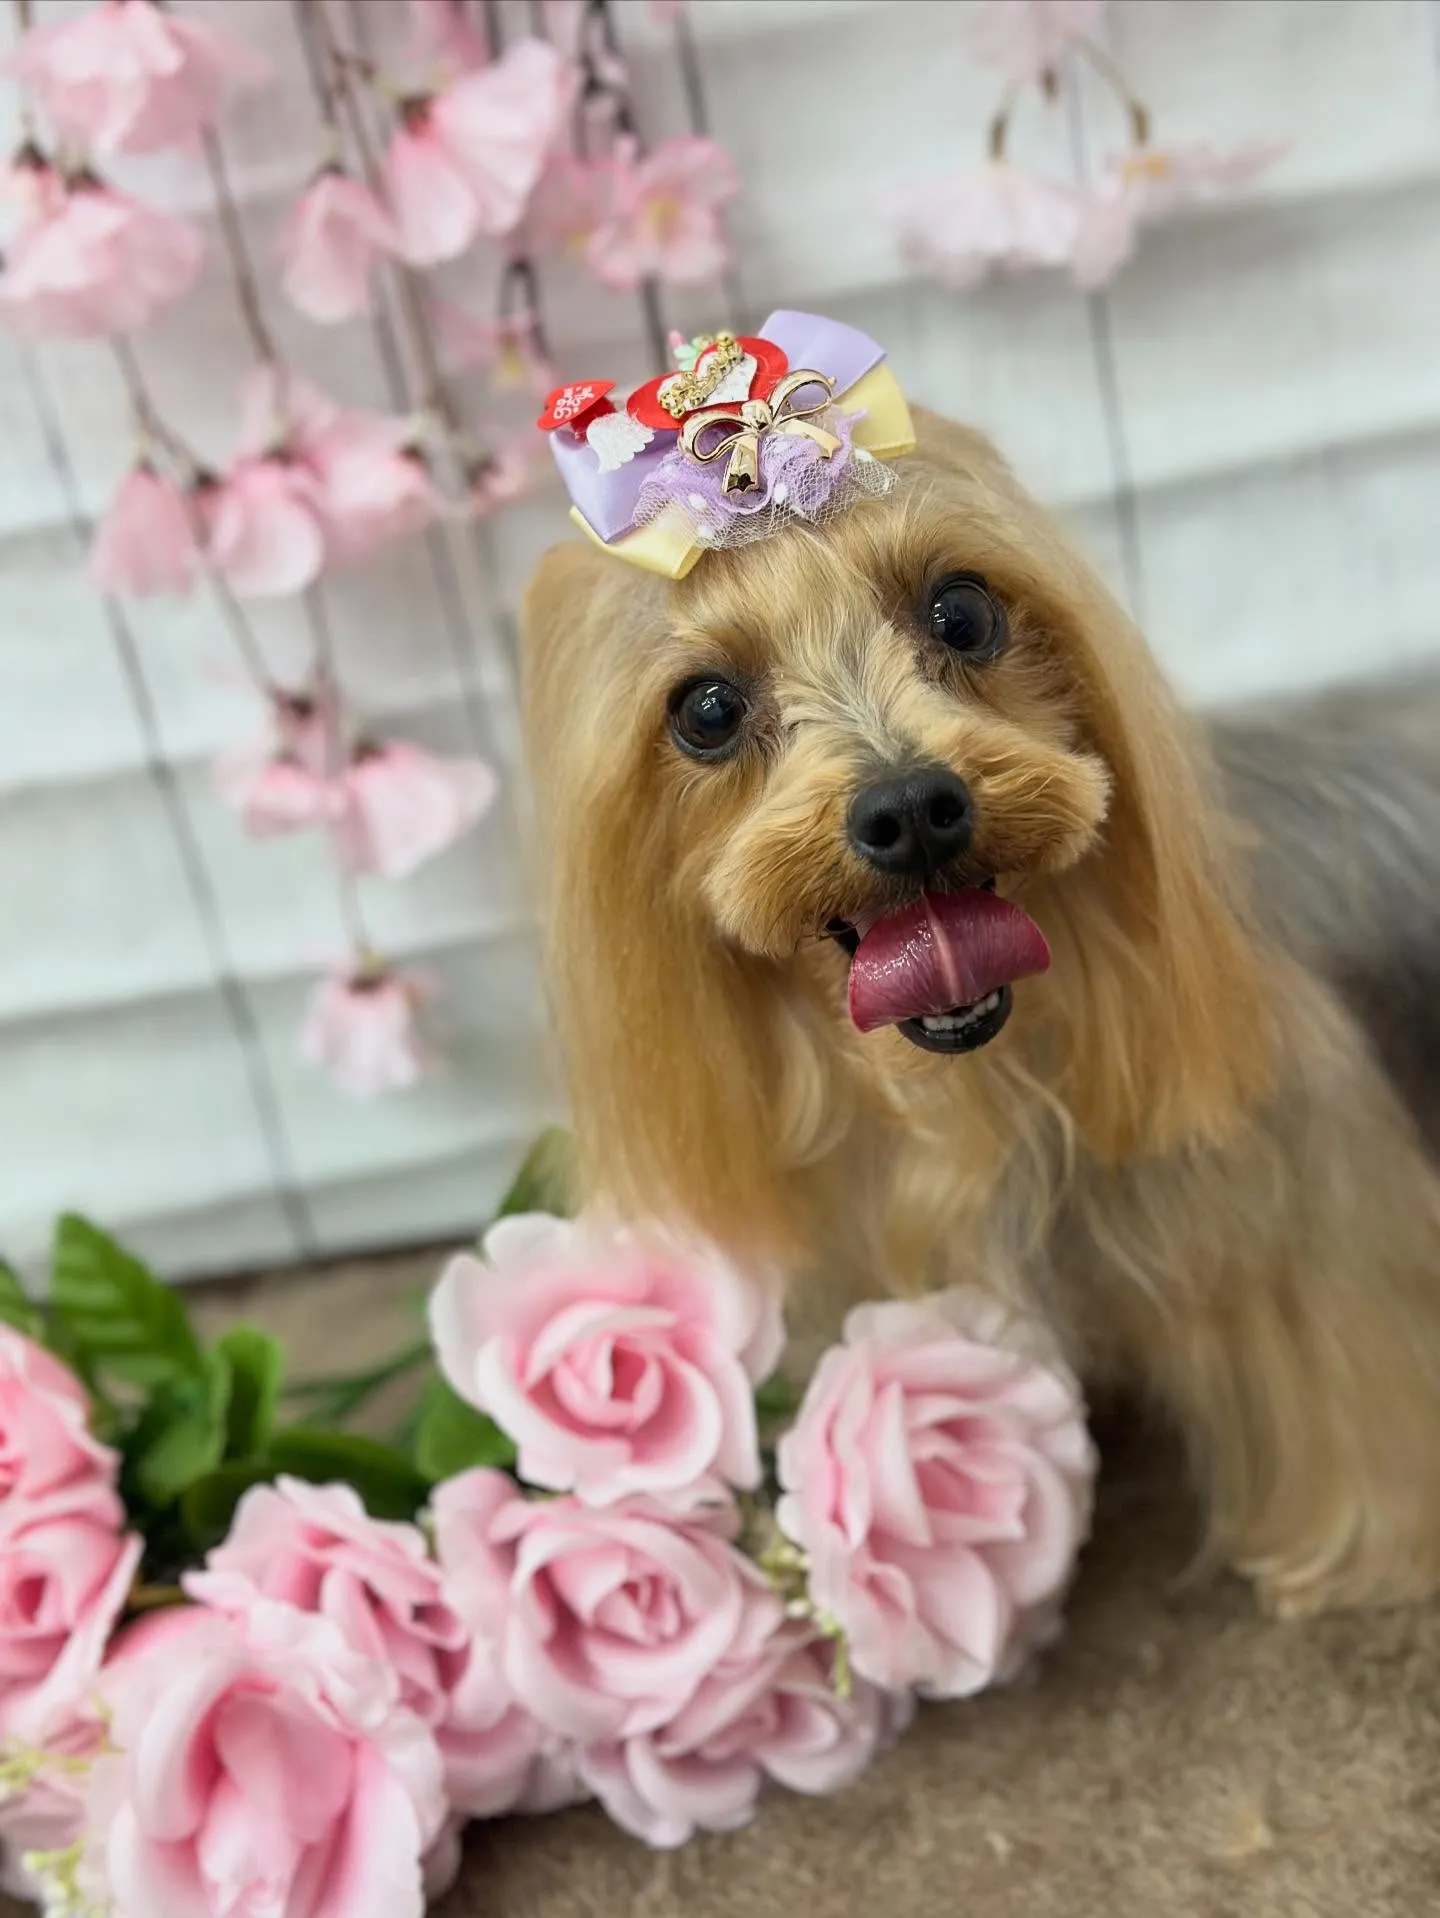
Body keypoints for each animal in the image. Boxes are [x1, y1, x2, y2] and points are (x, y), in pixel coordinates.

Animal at [521, 405, 1440, 1619]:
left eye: (962, 609)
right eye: (707, 709)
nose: (911, 807)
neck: (976, 1091)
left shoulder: (1310, 1215)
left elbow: (1350, 1380)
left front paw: (1367, 1548)